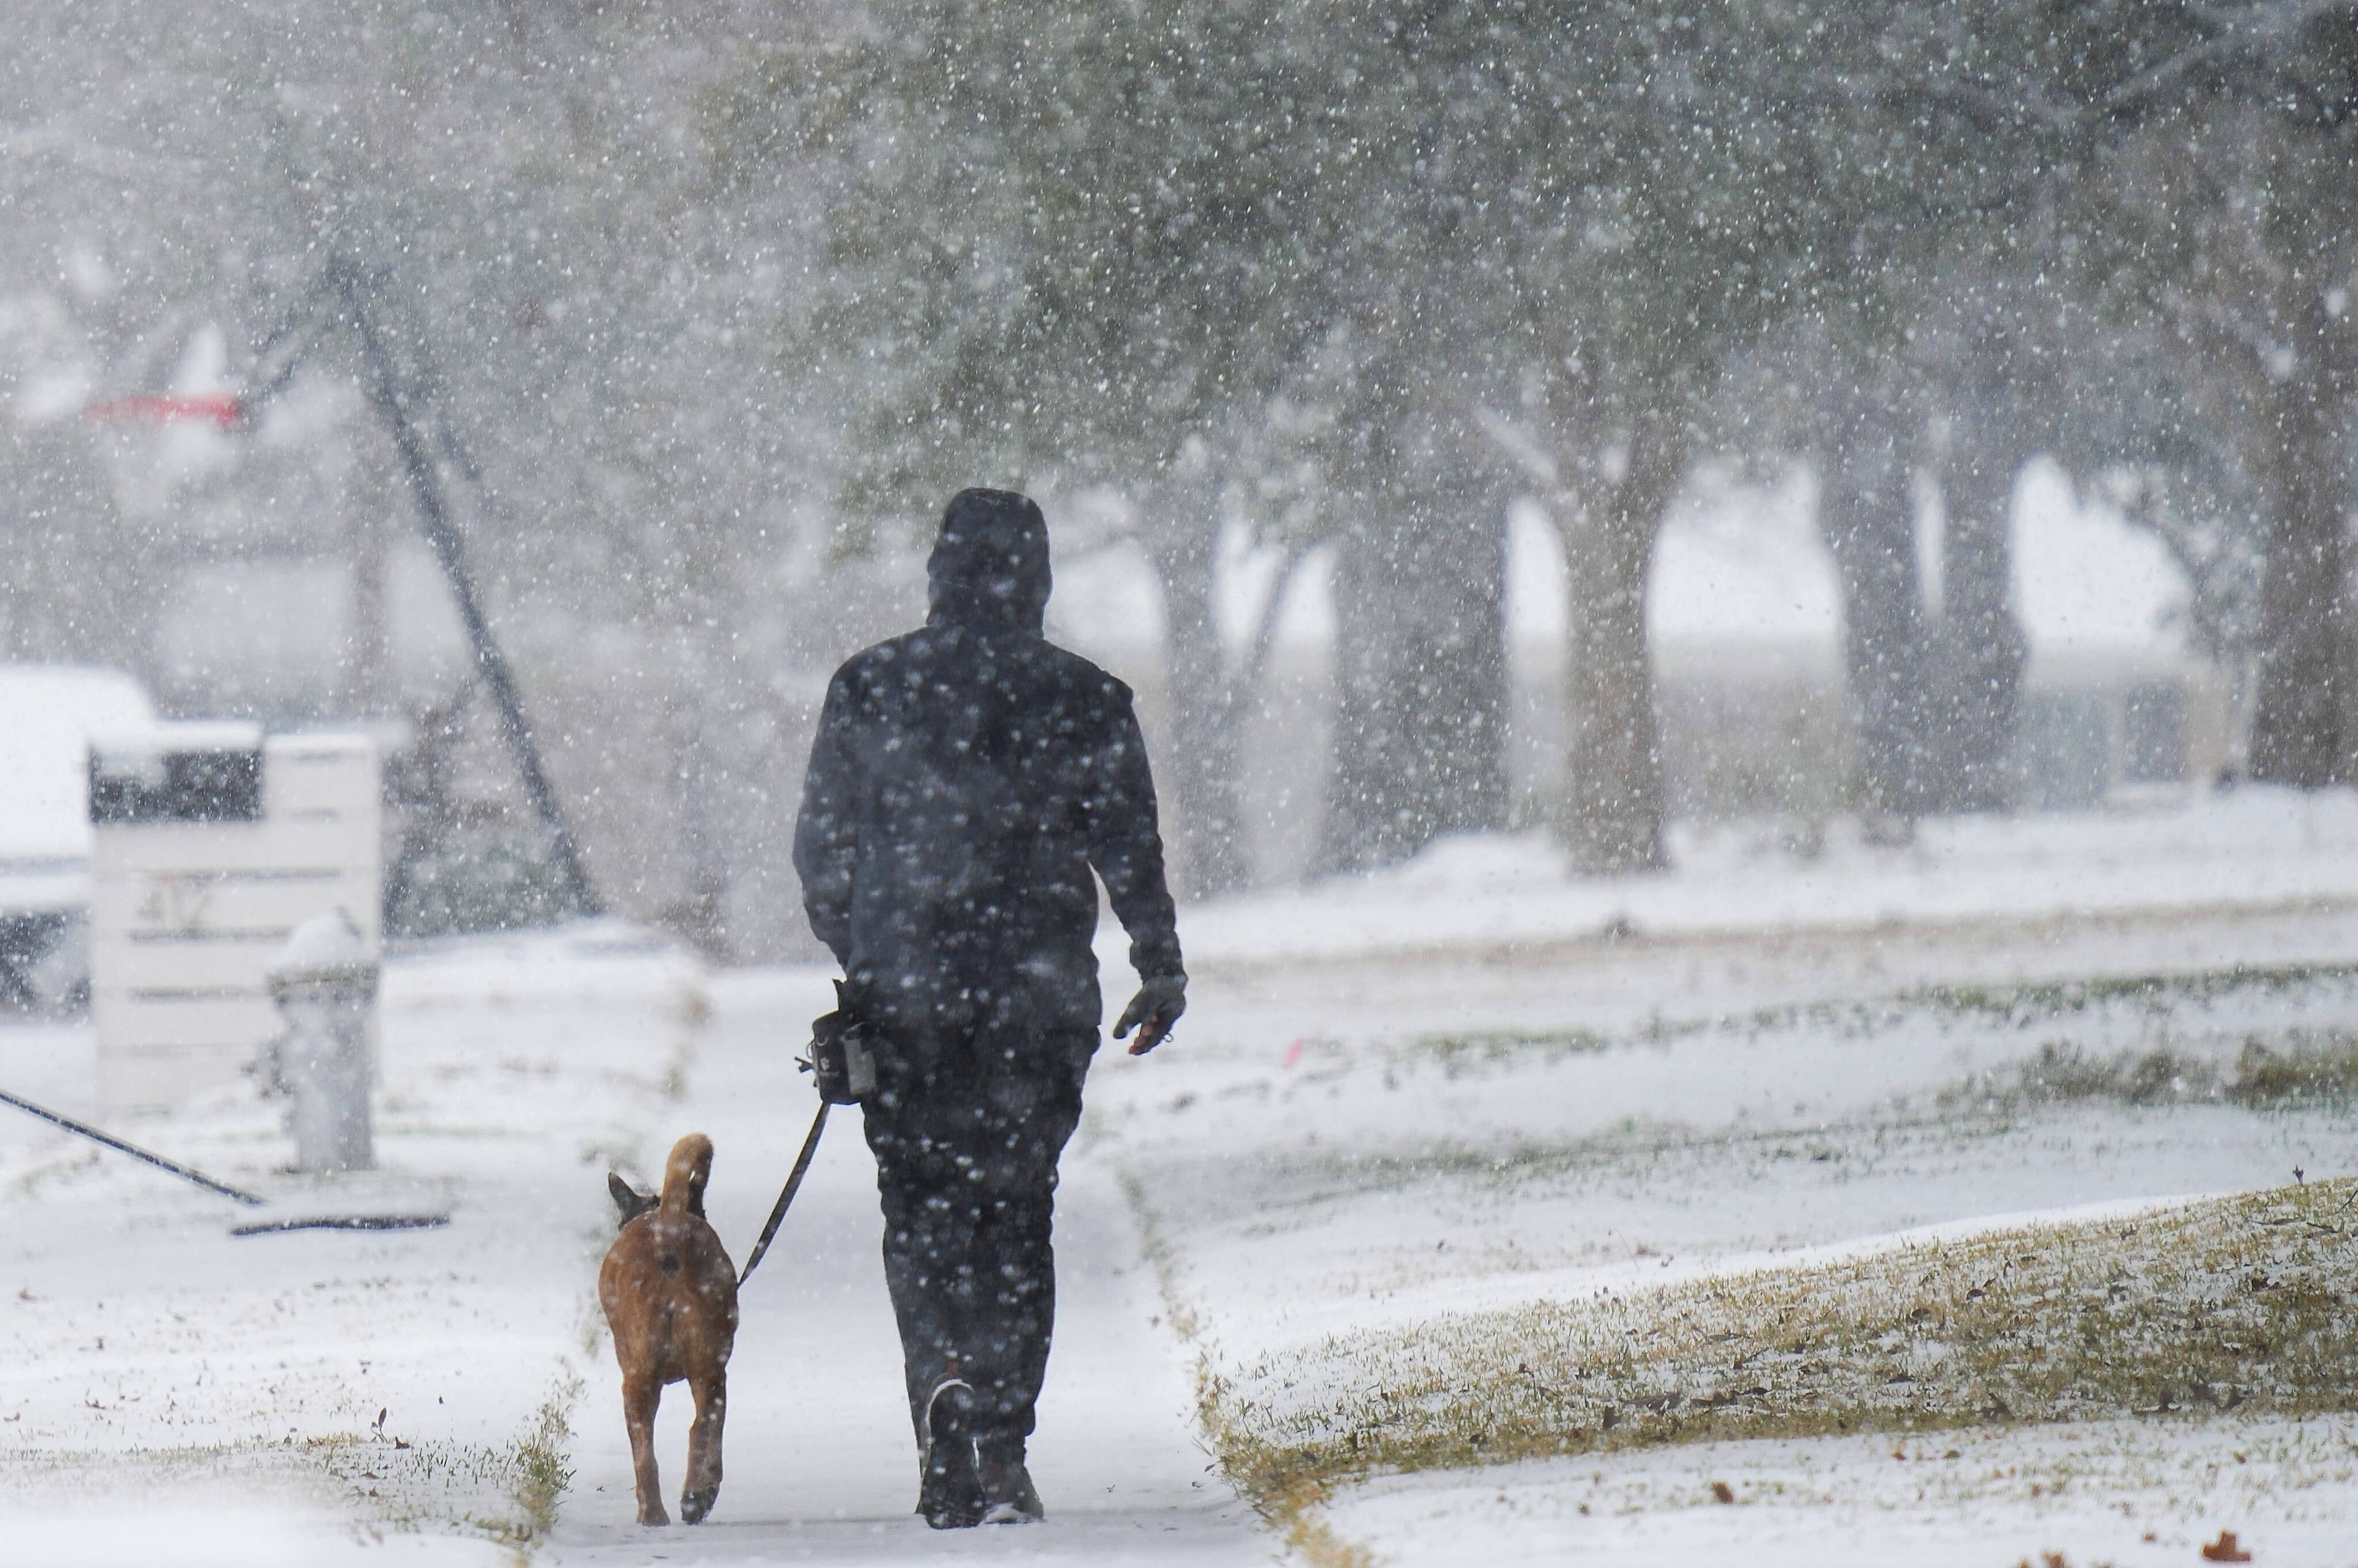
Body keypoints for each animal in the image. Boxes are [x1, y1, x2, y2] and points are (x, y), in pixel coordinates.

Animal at [599, 1131, 736, 1518]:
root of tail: (670, 1229)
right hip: (707, 1366)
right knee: (700, 1425)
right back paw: (691, 1499)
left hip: (644, 1375)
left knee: (650, 1447)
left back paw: (659, 1513)